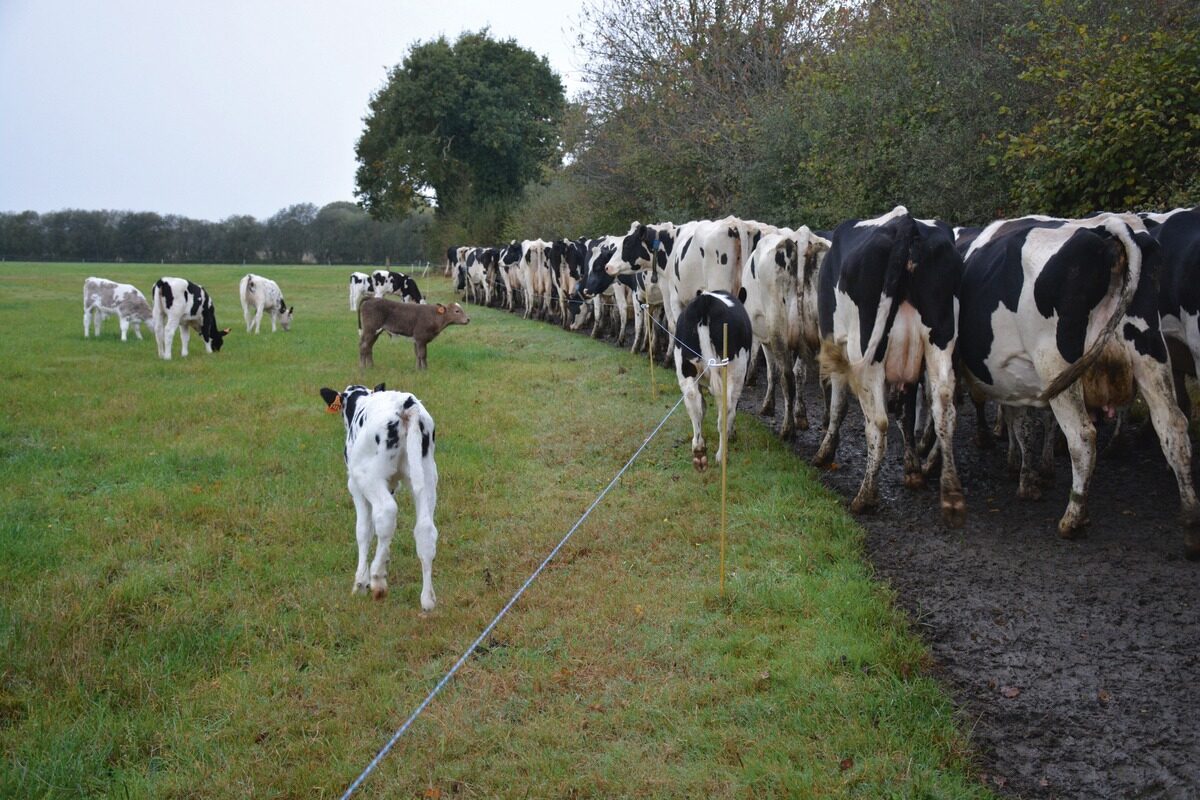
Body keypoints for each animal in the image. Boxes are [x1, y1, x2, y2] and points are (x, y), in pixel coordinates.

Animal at [321, 383, 444, 609]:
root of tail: (406, 404)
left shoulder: (356, 486)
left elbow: (363, 530)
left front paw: (360, 583)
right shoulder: (389, 484)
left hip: (367, 476)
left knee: (386, 513)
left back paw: (377, 578)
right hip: (427, 474)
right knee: (425, 529)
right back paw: (427, 599)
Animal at [676, 291, 748, 472]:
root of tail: (705, 300)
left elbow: (702, 407)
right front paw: (732, 433)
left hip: (685, 368)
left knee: (693, 401)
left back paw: (699, 451)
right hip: (734, 370)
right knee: (726, 409)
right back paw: (722, 456)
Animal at [734, 225, 830, 438]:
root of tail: (801, 236)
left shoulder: (766, 338)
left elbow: (773, 372)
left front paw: (768, 406)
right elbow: (800, 372)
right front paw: (801, 415)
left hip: (778, 330)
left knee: (786, 377)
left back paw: (787, 429)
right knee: (826, 380)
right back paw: (825, 426)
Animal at [811, 209, 969, 527]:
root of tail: (906, 223)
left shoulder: (835, 343)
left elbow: (838, 404)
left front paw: (825, 451)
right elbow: (907, 414)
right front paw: (912, 470)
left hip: (867, 350)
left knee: (878, 422)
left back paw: (865, 497)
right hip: (941, 339)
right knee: (944, 408)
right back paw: (951, 494)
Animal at [950, 209, 1195, 551]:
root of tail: (1110, 228)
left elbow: (1017, 422)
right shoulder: (1014, 375)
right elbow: (1021, 422)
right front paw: (1027, 473)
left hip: (1056, 362)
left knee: (1082, 436)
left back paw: (1073, 518)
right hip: (1149, 351)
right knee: (1173, 426)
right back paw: (1190, 520)